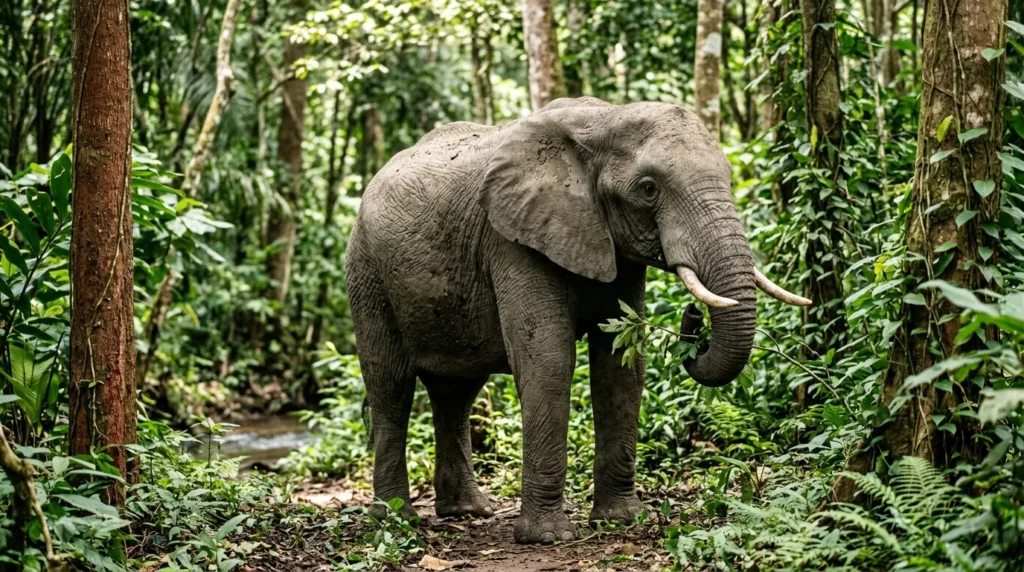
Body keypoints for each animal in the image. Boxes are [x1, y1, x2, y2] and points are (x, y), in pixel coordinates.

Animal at [345, 97, 809, 544]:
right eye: (648, 189)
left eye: (730, 179)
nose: (693, 316)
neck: (604, 120)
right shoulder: (512, 239)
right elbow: (548, 359)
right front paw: (548, 538)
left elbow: (621, 365)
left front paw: (620, 521)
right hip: (366, 274)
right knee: (391, 387)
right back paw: (395, 520)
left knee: (455, 393)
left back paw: (467, 513)